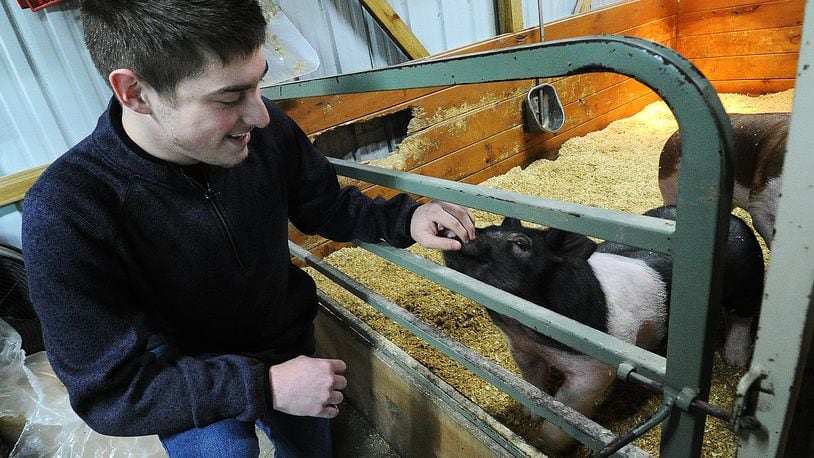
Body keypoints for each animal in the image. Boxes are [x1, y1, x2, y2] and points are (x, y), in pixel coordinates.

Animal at [440, 208, 764, 454]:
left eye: (520, 243)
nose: (450, 232)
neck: (530, 331)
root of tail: (734, 219)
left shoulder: (595, 370)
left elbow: (567, 408)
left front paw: (544, 441)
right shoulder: (522, 349)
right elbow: (533, 384)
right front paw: (530, 416)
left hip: (746, 277)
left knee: (742, 316)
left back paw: (735, 359)